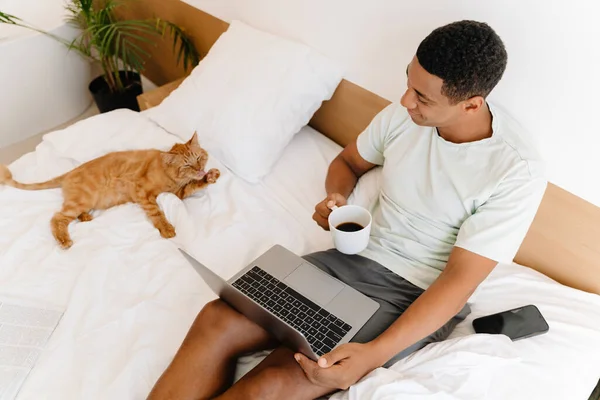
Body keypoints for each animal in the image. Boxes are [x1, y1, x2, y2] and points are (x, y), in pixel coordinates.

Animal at [0, 133, 220, 248]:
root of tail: (70, 172)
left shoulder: (178, 193)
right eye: (187, 165)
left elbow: (194, 185)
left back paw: (85, 217)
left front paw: (210, 176)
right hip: (80, 201)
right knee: (57, 218)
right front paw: (166, 229)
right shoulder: (143, 192)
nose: (199, 169)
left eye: (198, 158)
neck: (169, 177)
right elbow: (156, 212)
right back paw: (64, 240)